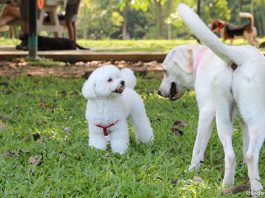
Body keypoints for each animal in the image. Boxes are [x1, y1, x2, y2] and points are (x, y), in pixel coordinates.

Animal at [176, 3, 264, 193]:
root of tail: (239, 57)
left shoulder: (243, 120)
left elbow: (244, 143)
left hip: (223, 117)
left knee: (230, 154)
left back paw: (227, 184)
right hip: (259, 121)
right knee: (251, 155)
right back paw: (257, 189)